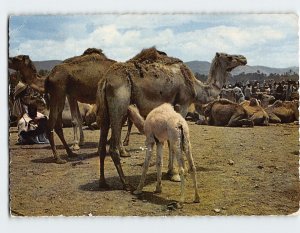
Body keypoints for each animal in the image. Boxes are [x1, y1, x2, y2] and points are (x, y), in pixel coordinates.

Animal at [96, 47, 246, 189]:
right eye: (229, 56)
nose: (243, 58)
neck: (195, 86)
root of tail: (105, 80)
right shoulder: (183, 105)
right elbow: (176, 140)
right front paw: (176, 174)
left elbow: (169, 140)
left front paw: (170, 171)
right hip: (119, 104)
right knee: (112, 147)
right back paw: (126, 184)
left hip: (105, 110)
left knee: (102, 145)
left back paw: (103, 182)